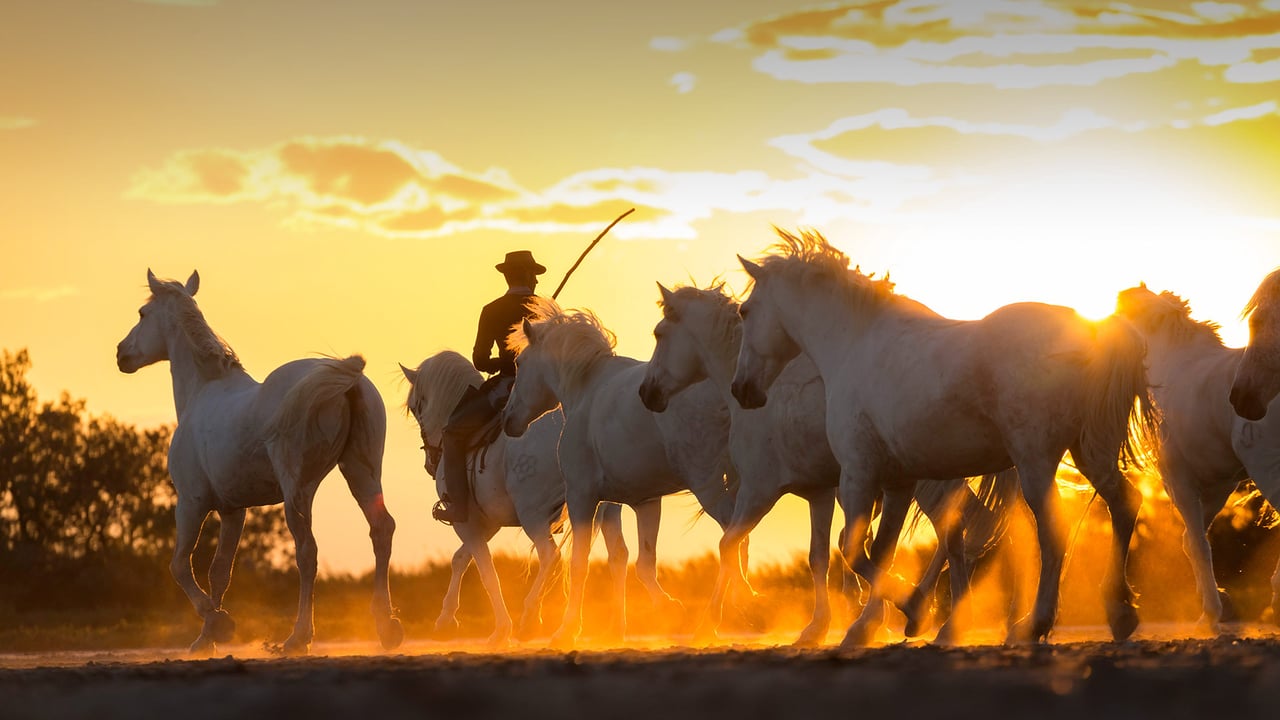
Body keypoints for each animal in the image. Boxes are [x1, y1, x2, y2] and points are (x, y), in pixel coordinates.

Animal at [115, 270, 401, 655]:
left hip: (299, 491)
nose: (122, 354)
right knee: (381, 530)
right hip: (362, 473)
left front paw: (218, 624)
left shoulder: (191, 502)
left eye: (143, 314)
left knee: (307, 552)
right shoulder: (232, 510)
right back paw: (387, 627)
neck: (203, 391)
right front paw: (207, 638)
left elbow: (180, 565)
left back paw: (297, 638)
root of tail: (347, 377)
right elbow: (220, 571)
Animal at [400, 351, 626, 644]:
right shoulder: (488, 523)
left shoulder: (465, 522)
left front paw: (500, 630)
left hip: (533, 515)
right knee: (616, 556)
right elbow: (461, 559)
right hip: (606, 511)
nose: (430, 462)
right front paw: (446, 618)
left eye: (415, 407)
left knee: (551, 557)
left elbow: (486, 571)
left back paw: (530, 617)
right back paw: (614, 628)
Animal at [502, 302, 739, 648]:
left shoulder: (582, 497)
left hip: (708, 486)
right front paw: (667, 610)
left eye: (519, 362)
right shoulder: (645, 502)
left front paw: (566, 630)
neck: (586, 389)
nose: (508, 419)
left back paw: (712, 620)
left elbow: (579, 563)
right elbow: (643, 563)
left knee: (733, 540)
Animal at [638, 282, 1017, 645]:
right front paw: (817, 627)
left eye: (659, 333)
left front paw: (710, 624)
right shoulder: (818, 493)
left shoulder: (758, 491)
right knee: (970, 532)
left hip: (930, 486)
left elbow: (728, 547)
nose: (646, 392)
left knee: (959, 534)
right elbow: (818, 558)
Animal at [730, 229, 1158, 646]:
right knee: (1124, 504)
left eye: (744, 311)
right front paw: (875, 624)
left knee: (1053, 533)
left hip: (1037, 462)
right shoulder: (897, 482)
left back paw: (1034, 624)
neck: (855, 345)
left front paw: (913, 609)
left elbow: (852, 550)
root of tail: (1096, 330)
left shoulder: (857, 475)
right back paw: (1120, 613)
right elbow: (880, 553)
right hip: (1090, 451)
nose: (742, 390)